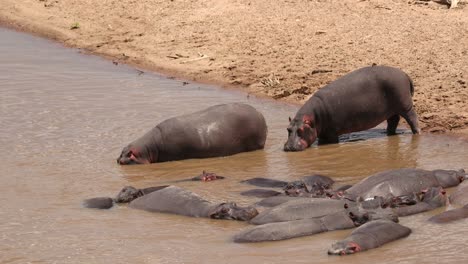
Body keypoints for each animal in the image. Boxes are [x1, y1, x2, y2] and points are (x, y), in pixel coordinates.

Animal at [284, 65, 418, 152]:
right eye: (288, 129)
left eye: (301, 130)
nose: (289, 147)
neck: (313, 118)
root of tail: (405, 74)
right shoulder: (323, 133)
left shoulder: (330, 133)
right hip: (392, 110)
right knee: (393, 121)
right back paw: (388, 133)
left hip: (405, 106)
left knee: (412, 118)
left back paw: (417, 133)